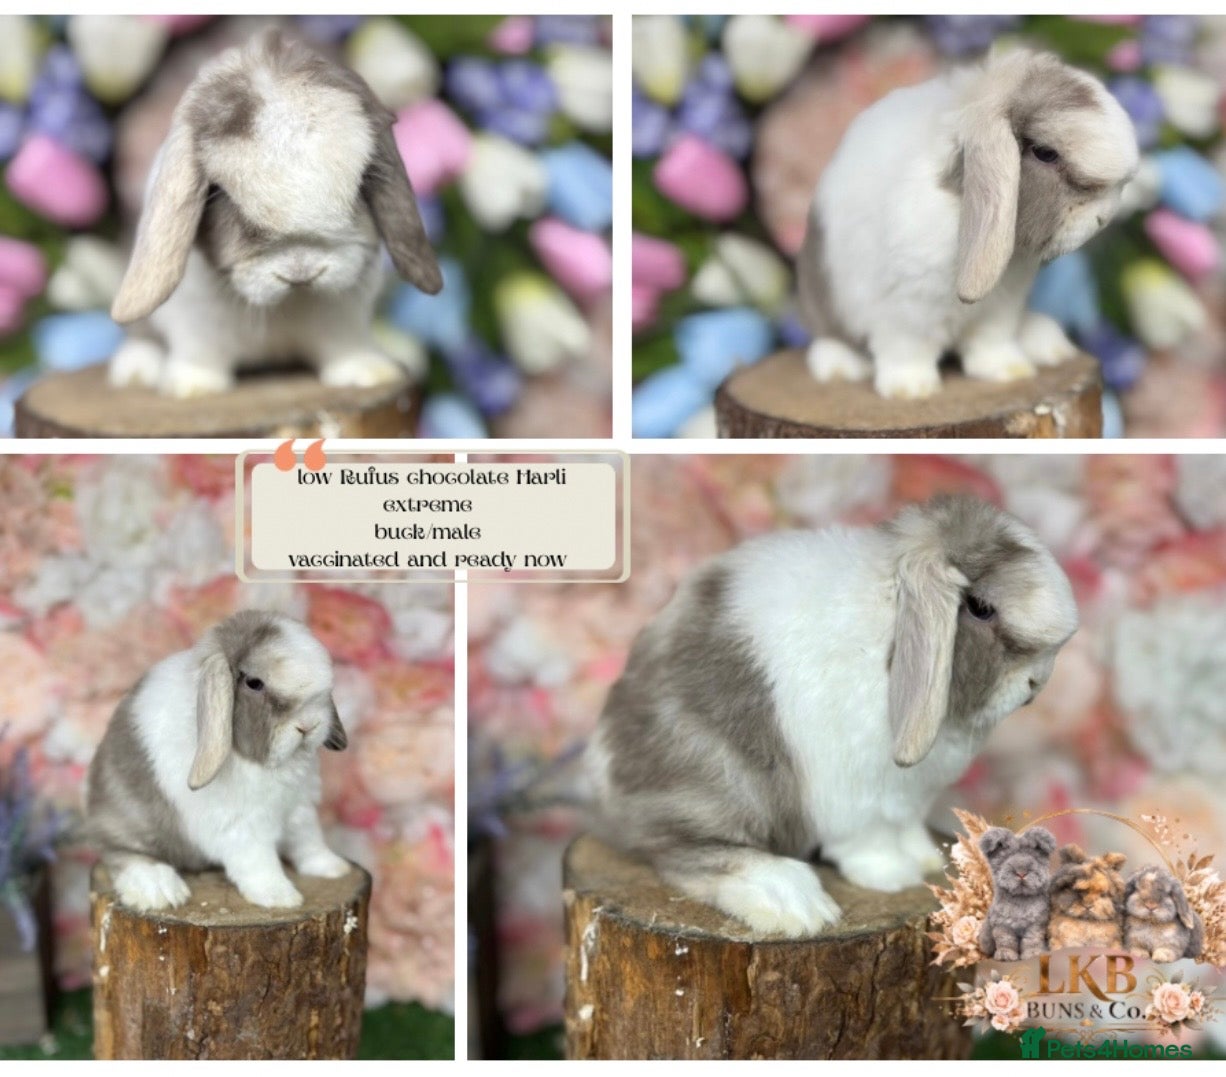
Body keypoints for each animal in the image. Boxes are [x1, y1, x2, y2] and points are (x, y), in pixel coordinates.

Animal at [84, 610, 351, 912]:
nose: (308, 725)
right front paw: (280, 897)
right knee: (121, 852)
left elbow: (309, 840)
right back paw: (160, 890)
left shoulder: (300, 809)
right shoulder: (241, 827)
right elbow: (259, 862)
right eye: (254, 683)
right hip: (128, 821)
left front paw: (331, 868)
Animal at [108, 27, 442, 398]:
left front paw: (370, 372)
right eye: (220, 192)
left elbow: (346, 348)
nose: (301, 273)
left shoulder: (346, 320)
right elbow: (200, 352)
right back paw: (136, 370)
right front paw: (192, 387)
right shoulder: (197, 325)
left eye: (360, 182)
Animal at [586, 494, 1078, 938]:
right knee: (680, 851)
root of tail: (599, 765)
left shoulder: (908, 799)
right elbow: (869, 842)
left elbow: (908, 828)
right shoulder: (859, 800)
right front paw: (893, 877)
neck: (890, 630)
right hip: (712, 783)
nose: (1035, 684)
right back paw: (793, 903)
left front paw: (926, 860)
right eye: (979, 607)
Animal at [796, 48, 1139, 400]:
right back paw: (840, 366)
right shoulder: (907, 308)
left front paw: (1009, 370)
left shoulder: (1001, 305)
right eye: (1045, 153)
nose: (1102, 218)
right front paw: (912, 389)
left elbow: (990, 340)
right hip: (825, 294)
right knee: (827, 335)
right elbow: (907, 348)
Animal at [978, 826, 1057, 961]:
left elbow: (1031, 940)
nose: (1021, 873)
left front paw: (1033, 954)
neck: (1020, 898)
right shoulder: (1002, 925)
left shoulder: (1036, 925)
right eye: (1006, 858)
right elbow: (1006, 941)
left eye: (1033, 856)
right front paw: (1005, 955)